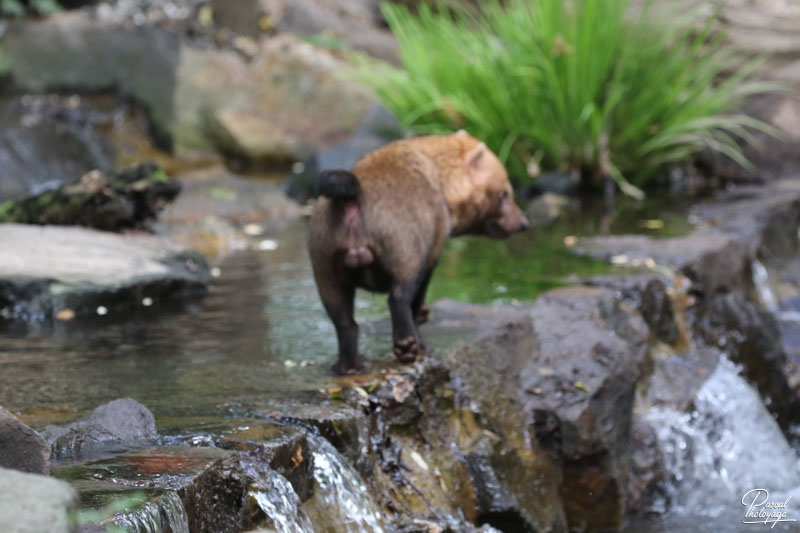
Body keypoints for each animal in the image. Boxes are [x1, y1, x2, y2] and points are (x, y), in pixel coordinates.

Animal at [310, 131, 528, 374]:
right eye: (504, 193)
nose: (523, 223)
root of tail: (352, 202)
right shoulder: (431, 253)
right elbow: (417, 299)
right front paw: (422, 341)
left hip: (325, 264)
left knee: (343, 319)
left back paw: (350, 364)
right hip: (404, 250)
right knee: (399, 297)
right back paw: (408, 346)